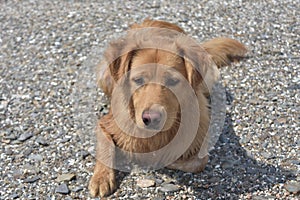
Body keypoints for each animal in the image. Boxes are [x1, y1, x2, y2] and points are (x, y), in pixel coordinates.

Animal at [88, 19, 247, 197]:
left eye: (172, 81)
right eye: (138, 80)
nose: (151, 118)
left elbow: (195, 162)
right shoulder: (106, 122)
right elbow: (106, 144)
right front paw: (101, 178)